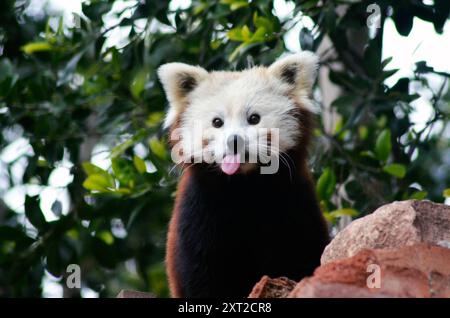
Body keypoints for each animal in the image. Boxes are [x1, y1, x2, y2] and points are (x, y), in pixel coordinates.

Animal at [157, 51, 326, 296]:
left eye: (254, 118)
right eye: (217, 122)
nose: (234, 141)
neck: (243, 186)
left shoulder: (294, 203)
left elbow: (302, 251)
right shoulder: (197, 213)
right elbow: (199, 274)